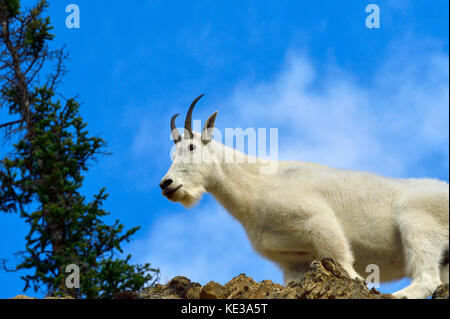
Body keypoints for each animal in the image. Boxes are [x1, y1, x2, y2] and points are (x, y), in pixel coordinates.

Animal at [160, 95, 448, 300]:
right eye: (172, 155)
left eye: (191, 146)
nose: (167, 184)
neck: (257, 185)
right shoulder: (292, 260)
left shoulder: (318, 220)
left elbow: (347, 266)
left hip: (417, 223)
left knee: (426, 279)